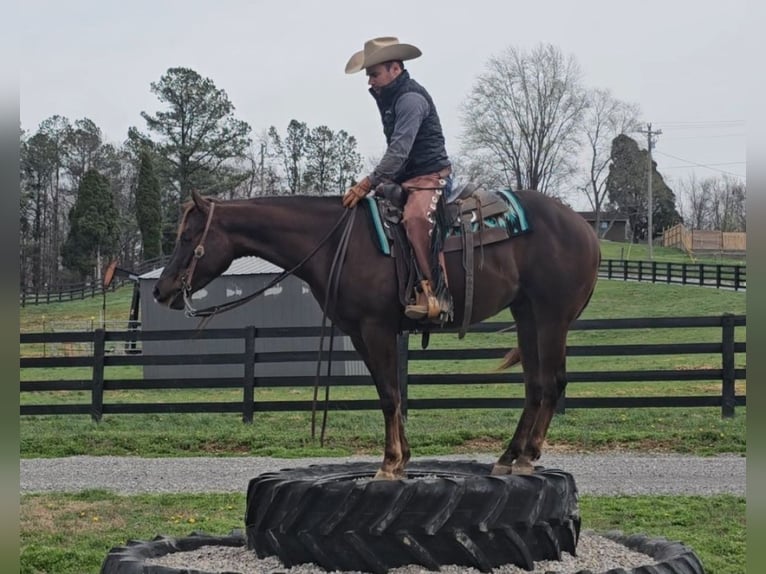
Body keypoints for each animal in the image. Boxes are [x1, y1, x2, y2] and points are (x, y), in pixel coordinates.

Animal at [153, 189, 600, 479]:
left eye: (188, 237)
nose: (162, 290)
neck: (335, 243)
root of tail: (584, 228)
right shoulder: (358, 334)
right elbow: (393, 394)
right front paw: (402, 459)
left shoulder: (377, 328)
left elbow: (388, 395)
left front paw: (388, 463)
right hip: (526, 314)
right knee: (535, 385)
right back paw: (509, 457)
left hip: (550, 316)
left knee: (552, 383)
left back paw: (526, 457)